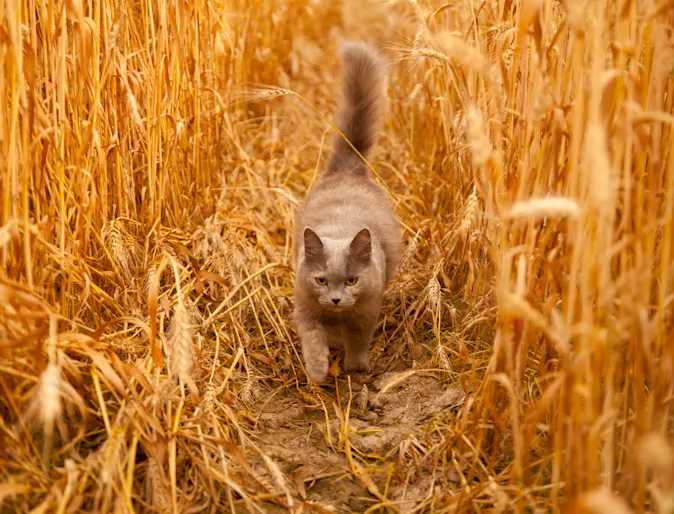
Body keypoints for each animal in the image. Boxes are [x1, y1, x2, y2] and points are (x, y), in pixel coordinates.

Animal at [292, 40, 400, 382]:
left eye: (352, 280)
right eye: (322, 280)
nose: (337, 298)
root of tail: (349, 169)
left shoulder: (366, 312)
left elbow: (359, 340)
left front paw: (355, 366)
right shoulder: (304, 308)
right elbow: (313, 339)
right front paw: (317, 370)